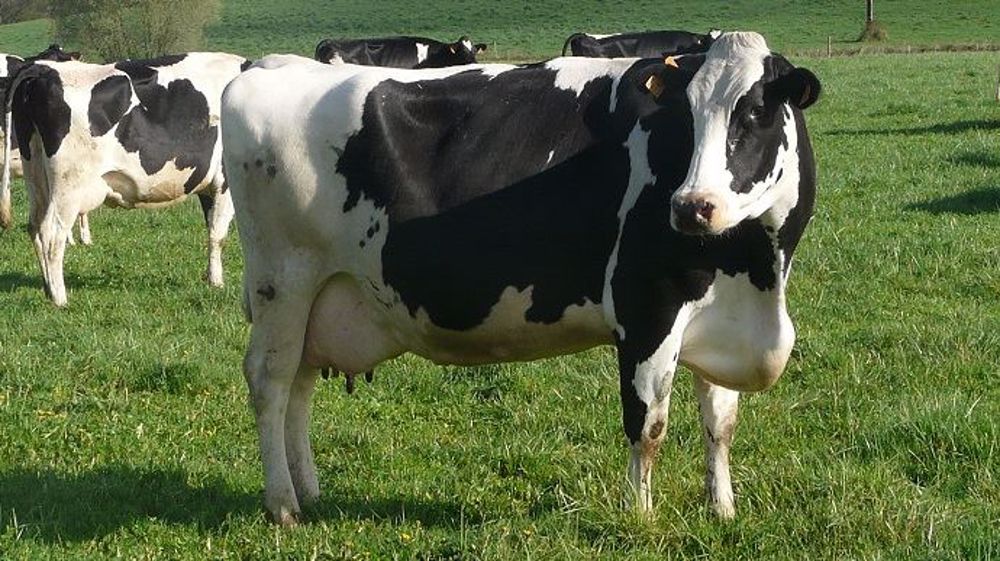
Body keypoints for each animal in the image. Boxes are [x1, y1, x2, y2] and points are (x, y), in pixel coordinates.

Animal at [221, 31, 820, 525]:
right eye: (684, 116)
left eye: (757, 113)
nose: (692, 206)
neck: (757, 273)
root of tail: (269, 65)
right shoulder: (646, 307)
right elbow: (647, 424)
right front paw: (641, 517)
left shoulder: (721, 315)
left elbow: (720, 422)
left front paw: (722, 509)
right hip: (283, 281)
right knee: (271, 382)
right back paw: (282, 504)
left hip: (315, 299)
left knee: (299, 385)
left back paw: (307, 491)